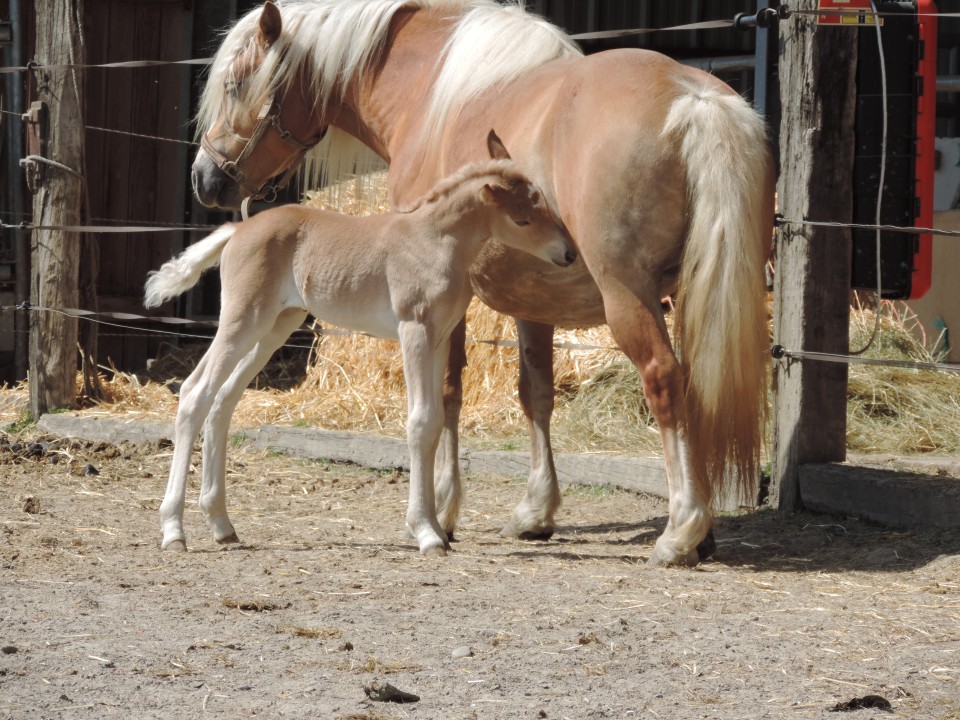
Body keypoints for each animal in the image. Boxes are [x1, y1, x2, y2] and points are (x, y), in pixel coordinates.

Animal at [191, 0, 776, 568]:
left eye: (235, 84)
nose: (206, 178)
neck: (427, 92)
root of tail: (694, 99)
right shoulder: (533, 301)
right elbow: (535, 394)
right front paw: (535, 512)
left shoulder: (441, 307)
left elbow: (445, 396)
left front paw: (441, 511)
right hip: (690, 294)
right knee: (694, 388)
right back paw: (702, 532)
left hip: (628, 297)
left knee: (664, 380)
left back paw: (680, 531)